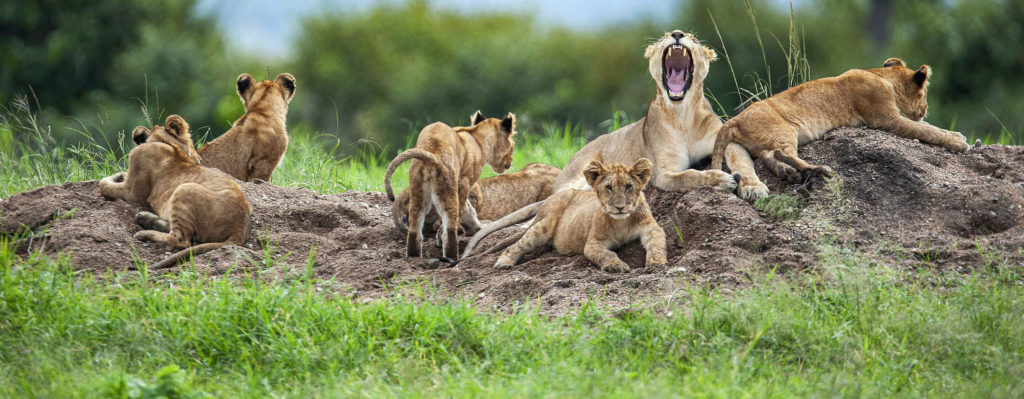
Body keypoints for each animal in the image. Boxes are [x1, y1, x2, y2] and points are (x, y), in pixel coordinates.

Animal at [385, 111, 516, 258]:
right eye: (512, 145)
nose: (510, 162)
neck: (478, 137)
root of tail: (432, 154)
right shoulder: (465, 182)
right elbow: (463, 209)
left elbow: (468, 208)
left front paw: (476, 227)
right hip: (447, 190)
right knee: (450, 229)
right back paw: (451, 257)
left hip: (418, 194)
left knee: (414, 230)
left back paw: (414, 257)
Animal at [464, 29, 761, 256]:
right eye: (666, 35)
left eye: (693, 38)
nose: (677, 34)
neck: (682, 113)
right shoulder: (663, 173)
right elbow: (690, 175)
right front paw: (722, 179)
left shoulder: (723, 137)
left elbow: (741, 158)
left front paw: (753, 187)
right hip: (575, 179)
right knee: (547, 206)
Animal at [491, 157, 667, 272]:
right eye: (609, 187)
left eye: (628, 187)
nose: (620, 207)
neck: (621, 221)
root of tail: (548, 200)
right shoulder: (593, 244)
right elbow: (607, 254)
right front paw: (616, 266)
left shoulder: (651, 228)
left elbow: (657, 244)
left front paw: (657, 263)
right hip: (544, 227)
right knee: (516, 245)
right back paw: (503, 262)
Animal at [712, 56, 966, 192]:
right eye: (924, 94)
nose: (925, 109)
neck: (882, 77)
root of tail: (733, 119)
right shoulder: (885, 119)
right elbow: (927, 130)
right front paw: (958, 141)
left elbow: (930, 128)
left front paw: (958, 136)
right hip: (784, 129)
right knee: (782, 152)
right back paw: (817, 169)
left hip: (766, 140)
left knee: (769, 155)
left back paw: (788, 173)